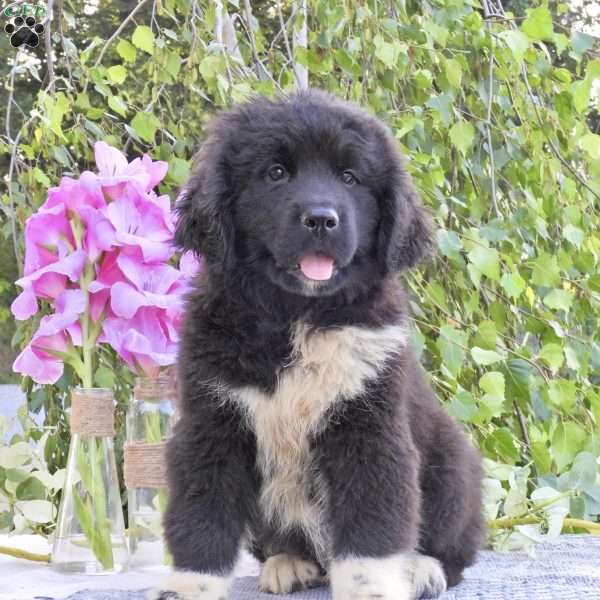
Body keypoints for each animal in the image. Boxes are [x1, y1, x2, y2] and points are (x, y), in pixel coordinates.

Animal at [154, 90, 482, 600]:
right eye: (275, 173)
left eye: (350, 177)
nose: (322, 219)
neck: (297, 318)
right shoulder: (210, 426)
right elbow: (199, 517)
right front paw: (190, 588)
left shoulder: (369, 429)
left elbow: (371, 531)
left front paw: (372, 590)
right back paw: (290, 562)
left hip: (452, 464)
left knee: (455, 547)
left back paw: (424, 570)